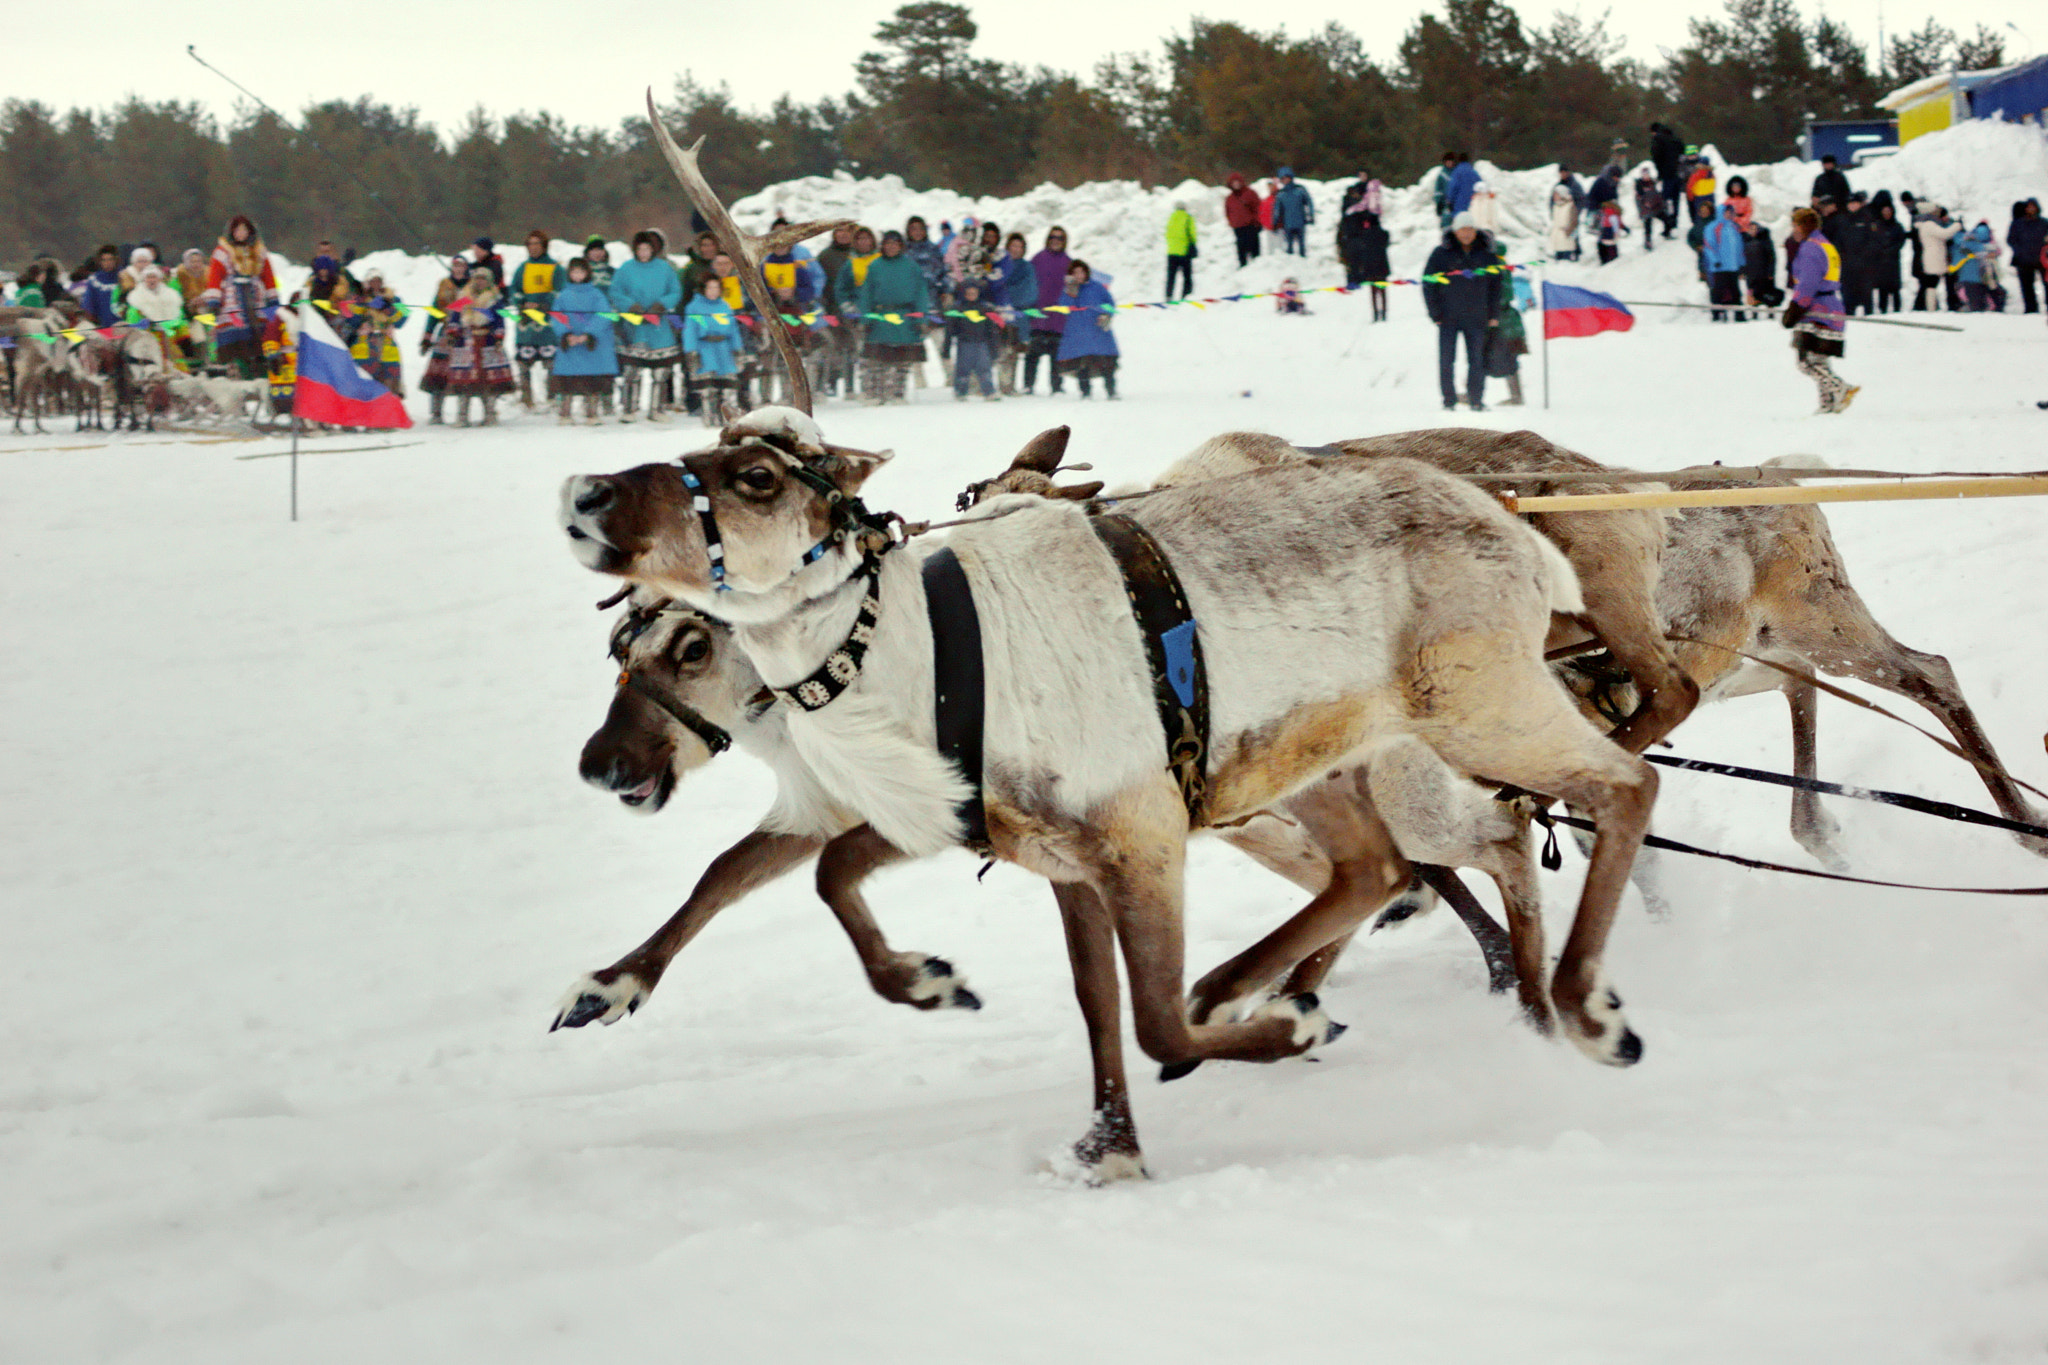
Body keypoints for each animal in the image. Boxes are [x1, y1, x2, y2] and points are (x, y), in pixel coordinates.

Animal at [548, 100, 1657, 1181]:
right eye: (621, 645)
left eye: (758, 480)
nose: (584, 493)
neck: (913, 666)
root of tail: (1513, 526)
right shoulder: (1044, 854)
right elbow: (1093, 1001)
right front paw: (1106, 1140)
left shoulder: (1132, 833)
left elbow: (1152, 1015)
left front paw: (1259, 1037)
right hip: (1325, 765)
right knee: (1389, 870)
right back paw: (1358, 989)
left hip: (1472, 708)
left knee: (1591, 798)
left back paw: (1572, 1007)